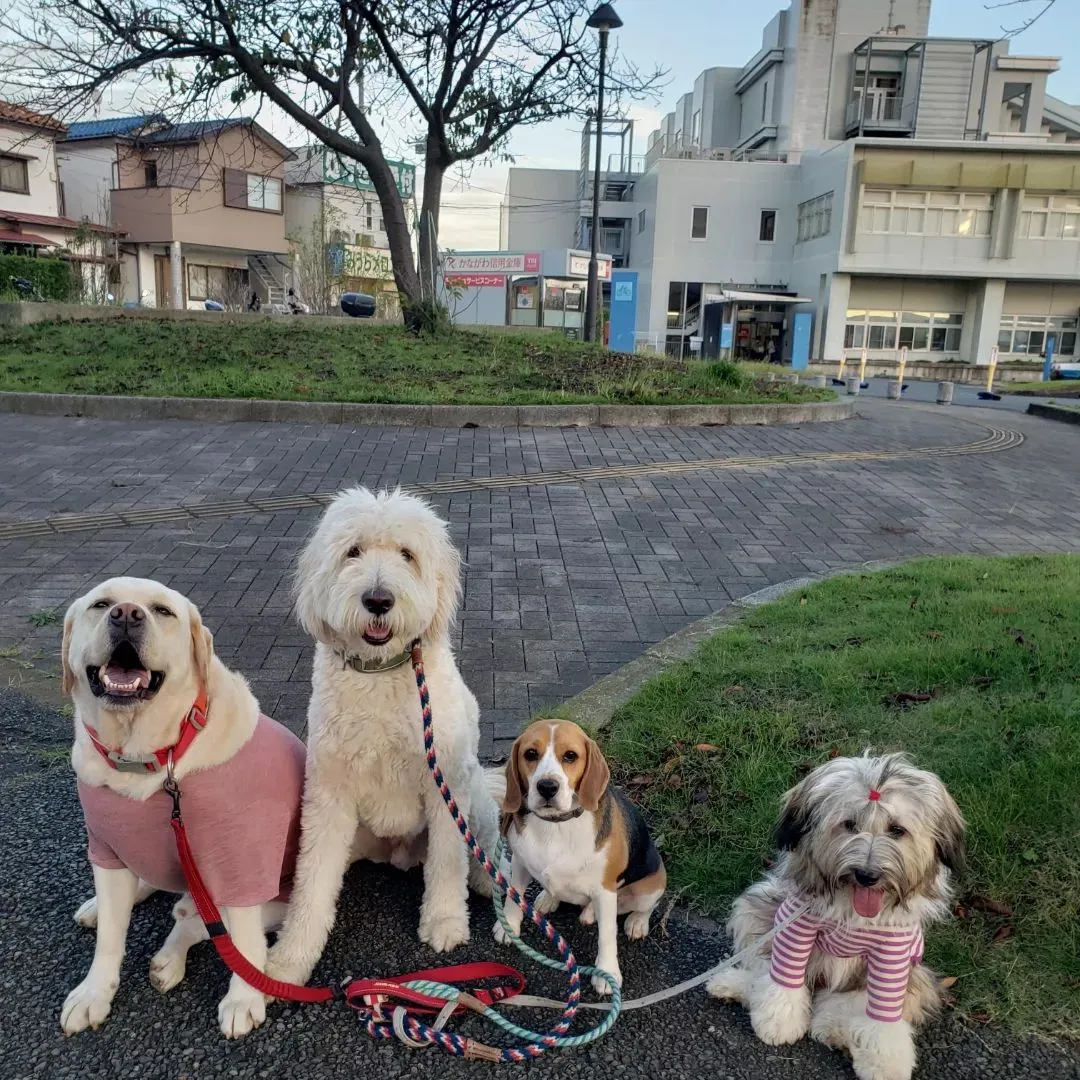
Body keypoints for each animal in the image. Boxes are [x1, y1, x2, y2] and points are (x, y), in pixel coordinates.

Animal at [61, 578, 306, 1041]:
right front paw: (93, 993)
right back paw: (103, 909)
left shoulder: (240, 864)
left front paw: (243, 999)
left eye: (163, 611)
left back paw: (170, 957)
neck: (147, 758)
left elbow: (243, 941)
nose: (126, 614)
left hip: (278, 901)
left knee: (196, 920)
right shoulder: (105, 846)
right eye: (101, 604)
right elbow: (110, 938)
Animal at [265, 490, 496, 989]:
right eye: (353, 552)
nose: (378, 600)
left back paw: (488, 879)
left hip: (475, 796)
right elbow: (312, 880)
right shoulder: (328, 793)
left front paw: (445, 922)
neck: (381, 670)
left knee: (484, 848)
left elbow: (448, 861)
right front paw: (292, 957)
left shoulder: (445, 781)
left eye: (407, 555)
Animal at [496, 717, 665, 993]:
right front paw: (508, 925)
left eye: (570, 756)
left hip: (651, 885)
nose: (547, 787)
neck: (556, 825)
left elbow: (607, 935)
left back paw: (636, 922)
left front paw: (607, 973)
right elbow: (514, 895)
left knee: (646, 907)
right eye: (530, 754)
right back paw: (550, 899)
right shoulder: (519, 861)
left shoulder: (606, 890)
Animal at [708, 751, 963, 1080]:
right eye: (849, 824)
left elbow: (883, 1021)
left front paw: (884, 1063)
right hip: (756, 910)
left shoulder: (893, 954)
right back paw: (733, 985)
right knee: (762, 971)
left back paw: (836, 1030)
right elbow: (782, 981)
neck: (851, 905)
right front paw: (777, 1022)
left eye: (897, 830)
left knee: (842, 1007)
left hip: (910, 978)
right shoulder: (795, 925)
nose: (867, 875)